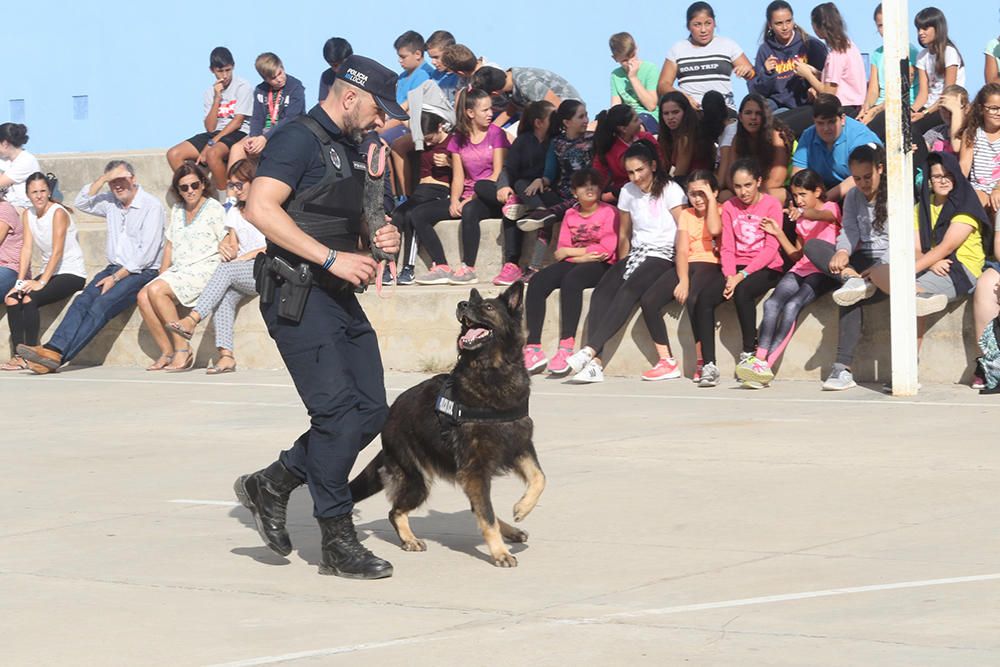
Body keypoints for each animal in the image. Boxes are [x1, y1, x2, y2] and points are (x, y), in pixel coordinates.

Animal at [348, 282, 544, 568]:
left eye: (487, 307)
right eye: (472, 304)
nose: (462, 304)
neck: (492, 371)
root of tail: (390, 415)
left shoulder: (518, 446)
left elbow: (539, 478)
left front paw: (522, 508)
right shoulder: (475, 469)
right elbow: (487, 516)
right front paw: (499, 553)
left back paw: (511, 530)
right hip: (418, 481)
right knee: (395, 511)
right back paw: (409, 539)